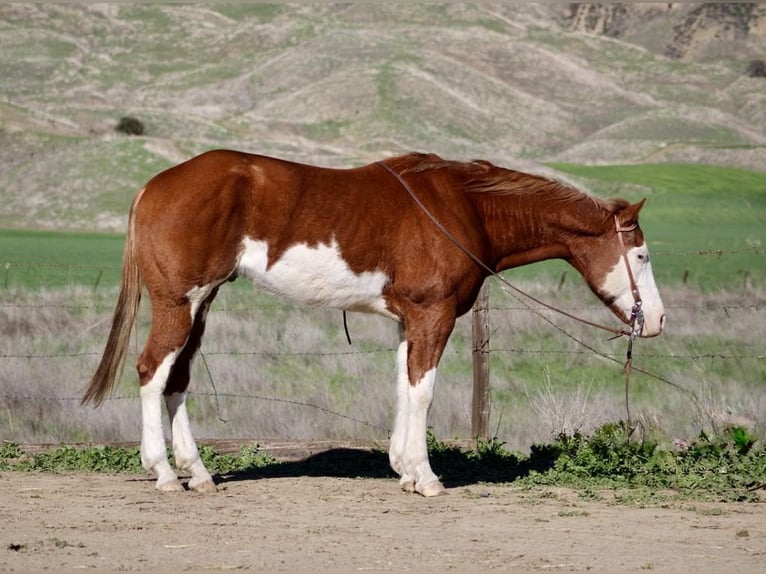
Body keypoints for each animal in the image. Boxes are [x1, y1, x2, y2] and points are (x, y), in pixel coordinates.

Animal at [82, 151, 664, 498]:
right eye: (641, 255)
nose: (656, 320)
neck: (464, 207)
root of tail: (154, 186)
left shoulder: (409, 320)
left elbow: (404, 388)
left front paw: (403, 468)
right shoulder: (434, 314)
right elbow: (424, 391)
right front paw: (426, 478)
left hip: (200, 305)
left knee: (177, 380)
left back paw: (197, 473)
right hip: (179, 303)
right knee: (151, 372)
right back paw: (163, 473)